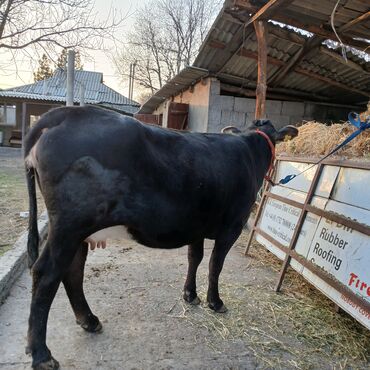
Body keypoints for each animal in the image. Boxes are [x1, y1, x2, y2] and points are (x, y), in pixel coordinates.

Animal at [23, 105, 298, 368]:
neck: (250, 148)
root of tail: (67, 113)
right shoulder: (232, 226)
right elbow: (215, 265)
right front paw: (215, 302)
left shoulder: (196, 225)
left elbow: (195, 258)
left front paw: (190, 295)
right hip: (69, 227)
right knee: (46, 274)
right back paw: (42, 354)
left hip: (78, 232)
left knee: (72, 272)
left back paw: (89, 321)